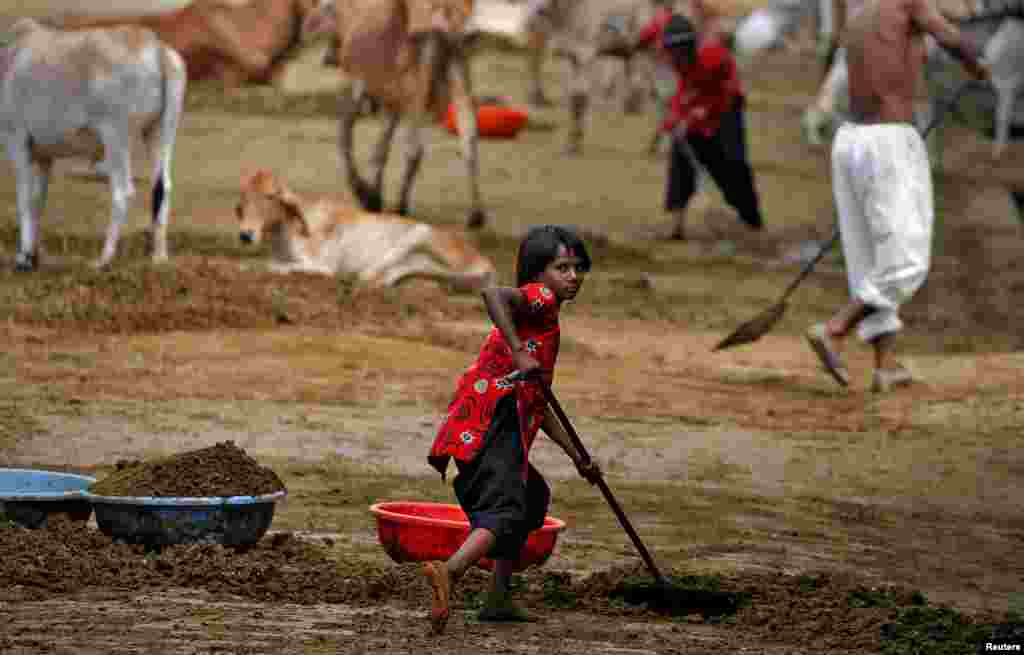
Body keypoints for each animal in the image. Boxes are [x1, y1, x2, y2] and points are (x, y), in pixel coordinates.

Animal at [236, 169, 499, 290]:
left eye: (271, 196)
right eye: (244, 196)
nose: (246, 235)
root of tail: (486, 263)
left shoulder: (321, 265)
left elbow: (274, 266)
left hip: (420, 232)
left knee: (368, 274)